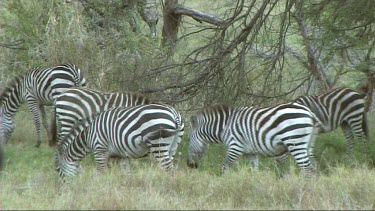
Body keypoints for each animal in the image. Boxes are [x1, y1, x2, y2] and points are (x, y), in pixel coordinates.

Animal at [55, 104, 185, 180]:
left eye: (60, 172)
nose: (61, 191)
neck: (88, 134)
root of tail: (174, 114)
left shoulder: (99, 149)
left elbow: (100, 173)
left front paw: (98, 189)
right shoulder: (122, 155)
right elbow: (126, 174)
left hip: (158, 144)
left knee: (167, 168)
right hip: (172, 145)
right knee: (171, 167)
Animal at [188, 102, 324, 176]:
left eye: (189, 139)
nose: (190, 165)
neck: (224, 127)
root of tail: (310, 113)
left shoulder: (234, 147)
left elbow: (224, 168)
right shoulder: (251, 153)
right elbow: (255, 171)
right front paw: (254, 187)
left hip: (295, 142)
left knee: (306, 169)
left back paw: (304, 189)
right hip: (307, 144)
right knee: (313, 166)